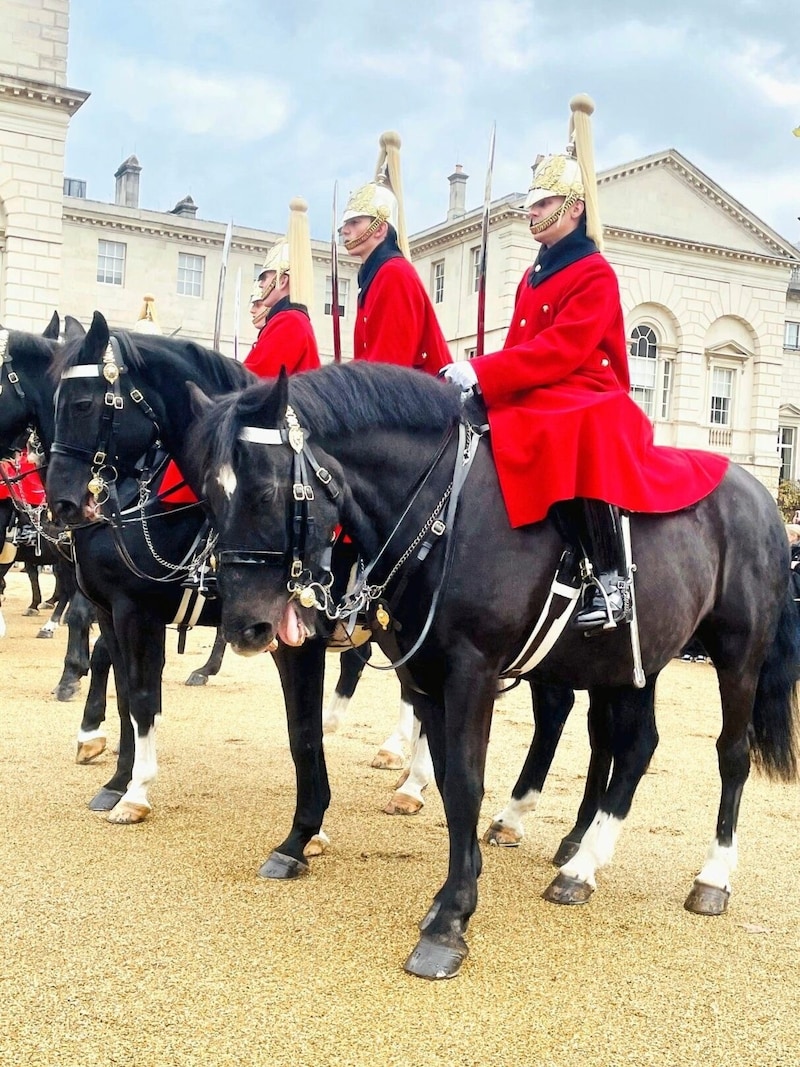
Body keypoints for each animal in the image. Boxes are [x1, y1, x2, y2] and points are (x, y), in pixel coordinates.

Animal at [183, 362, 800, 977]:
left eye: (265, 491)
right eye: (207, 496)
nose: (244, 627)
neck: (442, 512)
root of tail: (759, 494)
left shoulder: (471, 673)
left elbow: (462, 782)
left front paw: (451, 919)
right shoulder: (427, 674)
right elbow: (440, 776)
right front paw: (451, 886)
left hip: (737, 655)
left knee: (730, 753)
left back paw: (712, 876)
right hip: (632, 661)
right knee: (633, 747)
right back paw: (581, 864)